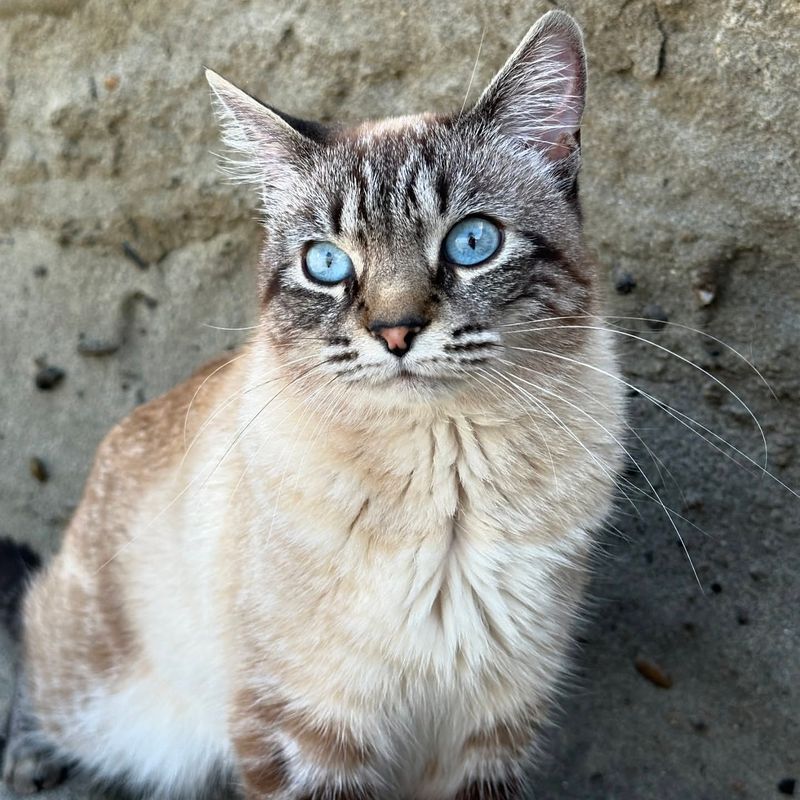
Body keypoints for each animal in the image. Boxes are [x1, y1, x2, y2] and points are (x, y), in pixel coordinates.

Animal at [1, 7, 624, 800]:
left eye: (472, 242)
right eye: (326, 263)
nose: (395, 331)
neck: (444, 473)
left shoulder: (488, 735)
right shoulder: (305, 732)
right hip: (102, 697)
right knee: (30, 640)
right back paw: (32, 760)